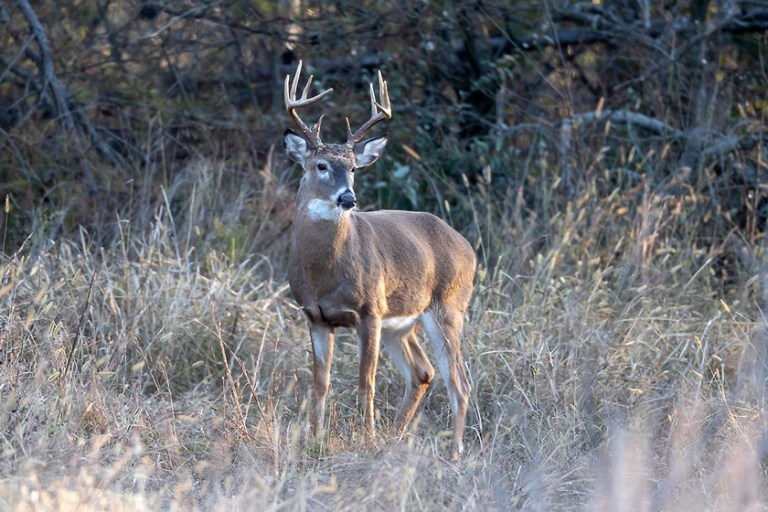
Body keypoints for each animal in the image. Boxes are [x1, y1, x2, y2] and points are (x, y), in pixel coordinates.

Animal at [283, 61, 476, 457]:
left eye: (354, 168)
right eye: (321, 165)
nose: (348, 198)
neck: (323, 276)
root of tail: (468, 247)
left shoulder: (369, 310)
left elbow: (365, 382)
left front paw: (366, 437)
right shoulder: (314, 316)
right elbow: (320, 383)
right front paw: (315, 440)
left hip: (448, 307)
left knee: (459, 382)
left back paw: (454, 451)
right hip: (401, 324)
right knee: (423, 372)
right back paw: (397, 436)